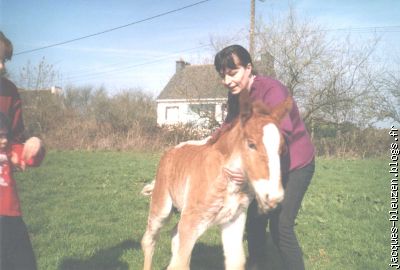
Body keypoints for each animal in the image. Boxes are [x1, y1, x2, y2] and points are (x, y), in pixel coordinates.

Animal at [142, 91, 292, 270]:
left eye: (282, 148)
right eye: (251, 144)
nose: (274, 196)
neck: (227, 182)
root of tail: (171, 151)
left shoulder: (233, 221)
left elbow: (236, 261)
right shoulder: (191, 222)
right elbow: (180, 263)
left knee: (174, 236)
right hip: (162, 208)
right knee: (149, 240)